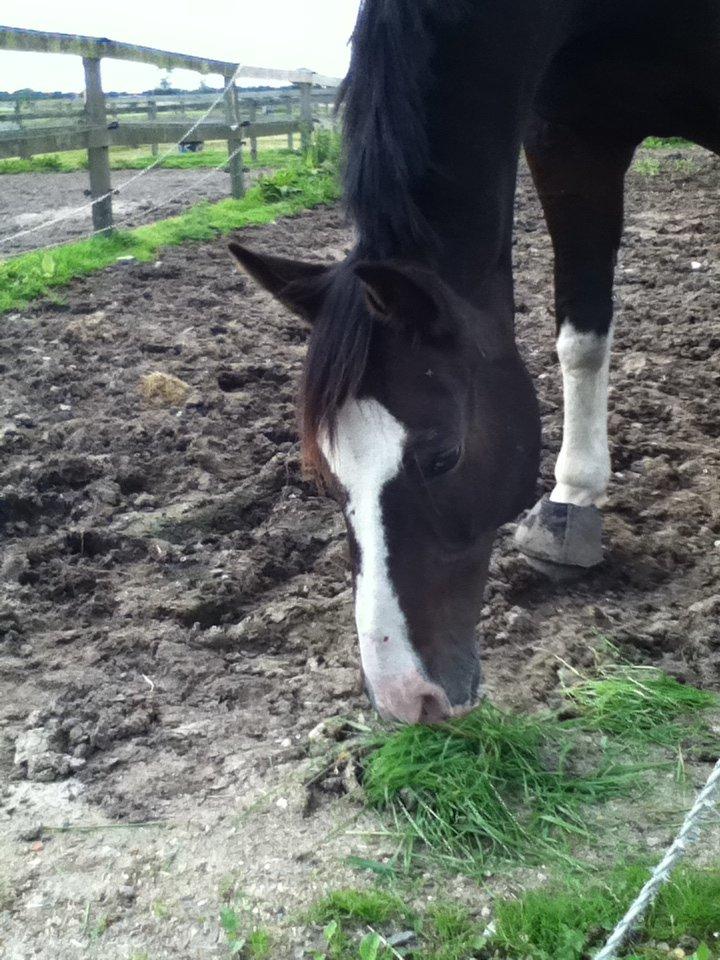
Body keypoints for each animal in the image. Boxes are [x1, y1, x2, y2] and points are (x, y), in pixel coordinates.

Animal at [229, 0, 720, 724]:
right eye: (323, 475)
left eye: (443, 458)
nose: (407, 699)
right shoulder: (569, 135)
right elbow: (581, 334)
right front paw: (571, 503)